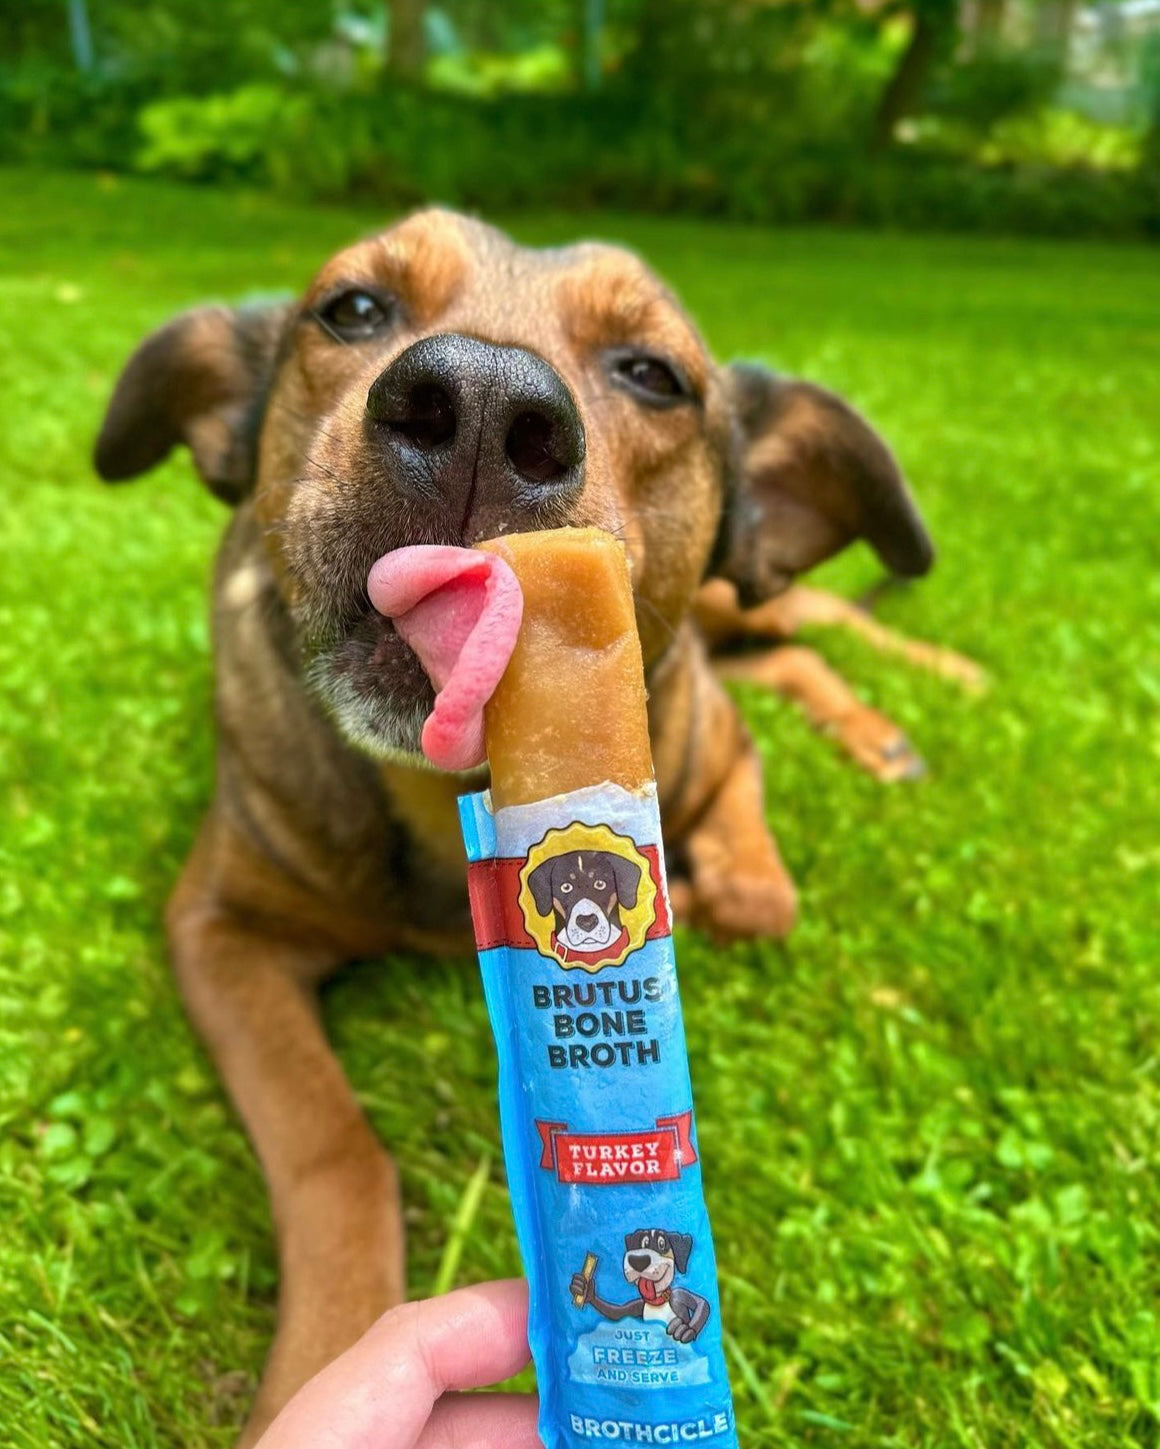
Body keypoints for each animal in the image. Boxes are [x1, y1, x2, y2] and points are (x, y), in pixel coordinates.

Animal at [97, 210, 932, 1443]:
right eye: (352, 308)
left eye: (653, 373)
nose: (484, 405)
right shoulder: (219, 924)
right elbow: (336, 1151)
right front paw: (326, 1364)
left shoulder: (712, 754)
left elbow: (753, 864)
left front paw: (716, 885)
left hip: (743, 601)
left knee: (810, 627)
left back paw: (916, 702)